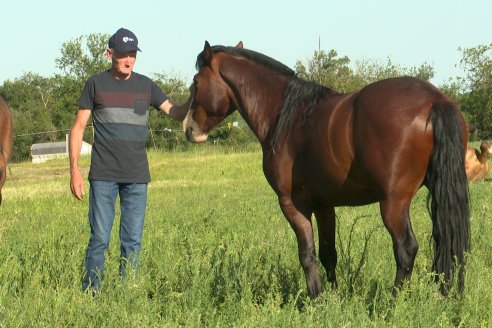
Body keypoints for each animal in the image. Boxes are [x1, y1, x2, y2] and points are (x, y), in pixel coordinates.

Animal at [183, 41, 470, 298]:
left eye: (196, 81)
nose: (189, 128)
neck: (285, 117)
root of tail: (434, 100)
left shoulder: (293, 203)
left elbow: (307, 254)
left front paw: (316, 298)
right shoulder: (324, 204)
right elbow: (328, 253)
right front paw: (333, 297)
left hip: (393, 203)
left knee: (406, 249)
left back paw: (394, 303)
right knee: (448, 243)